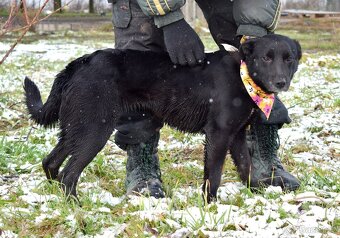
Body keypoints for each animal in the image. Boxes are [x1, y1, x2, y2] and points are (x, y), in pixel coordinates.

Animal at [23, 34, 300, 203]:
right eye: (266, 58)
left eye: (289, 59)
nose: (281, 82)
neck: (244, 74)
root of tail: (78, 63)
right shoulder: (218, 134)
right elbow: (214, 175)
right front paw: (211, 205)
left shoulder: (238, 135)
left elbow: (245, 166)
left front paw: (257, 193)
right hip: (94, 130)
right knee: (69, 174)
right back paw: (76, 206)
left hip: (77, 127)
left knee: (50, 162)